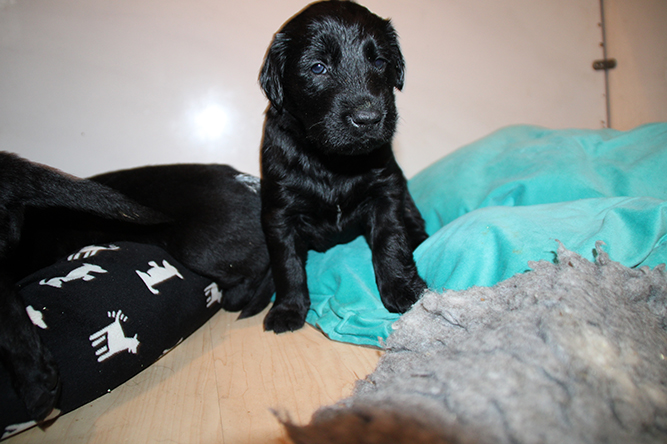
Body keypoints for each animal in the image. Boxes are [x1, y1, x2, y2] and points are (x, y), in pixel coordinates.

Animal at [259, 0, 428, 333]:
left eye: (380, 61)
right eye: (318, 67)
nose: (368, 119)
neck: (333, 162)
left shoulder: (386, 190)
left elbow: (391, 240)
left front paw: (403, 289)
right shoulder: (279, 213)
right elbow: (287, 264)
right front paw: (288, 308)